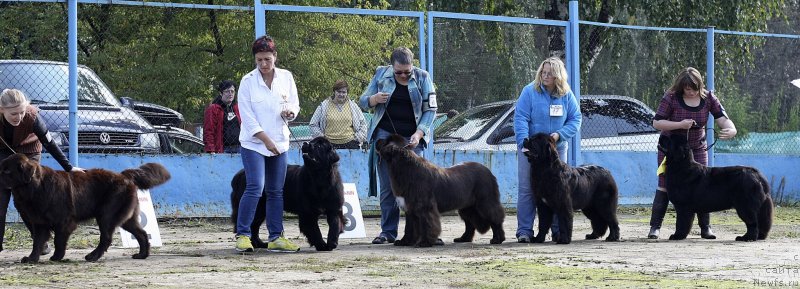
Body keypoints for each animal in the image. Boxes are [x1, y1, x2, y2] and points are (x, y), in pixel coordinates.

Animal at [0, 153, 169, 260]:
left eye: (7, 171)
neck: (36, 186)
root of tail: (124, 176)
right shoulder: (40, 223)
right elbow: (37, 242)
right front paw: (32, 258)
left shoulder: (64, 221)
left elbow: (58, 241)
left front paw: (57, 257)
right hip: (127, 218)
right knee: (142, 234)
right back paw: (142, 255)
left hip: (106, 215)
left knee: (106, 238)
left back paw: (93, 256)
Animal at [376, 134, 504, 246]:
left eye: (386, 141)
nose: (377, 140)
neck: (404, 169)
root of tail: (488, 171)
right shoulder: (410, 208)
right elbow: (409, 227)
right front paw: (405, 242)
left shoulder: (425, 207)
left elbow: (427, 225)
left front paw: (425, 242)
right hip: (467, 207)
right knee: (470, 223)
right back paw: (463, 238)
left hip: (486, 202)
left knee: (495, 218)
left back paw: (497, 239)